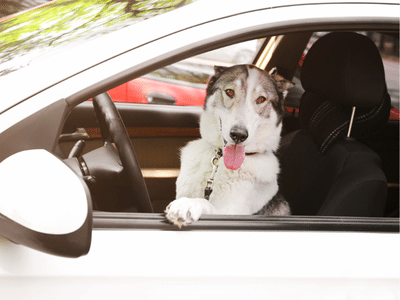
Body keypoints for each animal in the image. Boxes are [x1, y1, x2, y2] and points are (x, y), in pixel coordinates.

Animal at [164, 63, 292, 227]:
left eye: (261, 99)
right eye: (230, 92)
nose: (238, 135)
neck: (221, 160)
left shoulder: (232, 213)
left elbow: (205, 203)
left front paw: (188, 204)